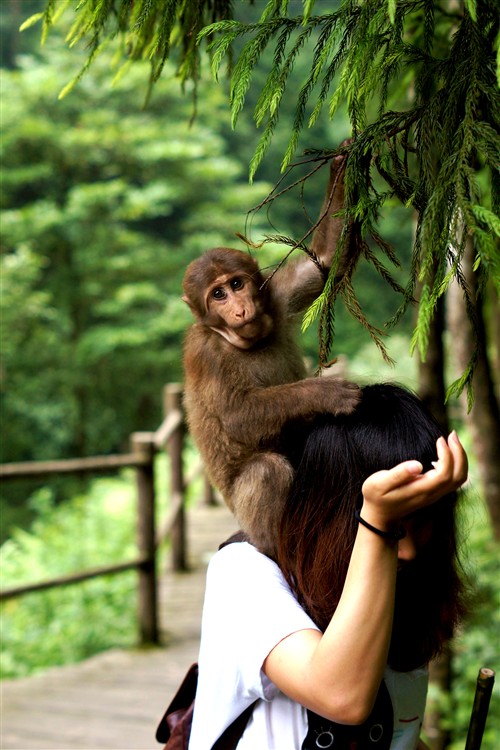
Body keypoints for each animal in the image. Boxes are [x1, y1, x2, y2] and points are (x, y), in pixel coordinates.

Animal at [182, 150, 362, 556]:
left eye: (237, 284)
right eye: (218, 295)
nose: (240, 308)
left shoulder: (275, 296)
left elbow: (325, 261)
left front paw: (342, 161)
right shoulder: (204, 352)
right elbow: (235, 415)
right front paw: (324, 392)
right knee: (266, 471)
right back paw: (273, 545)